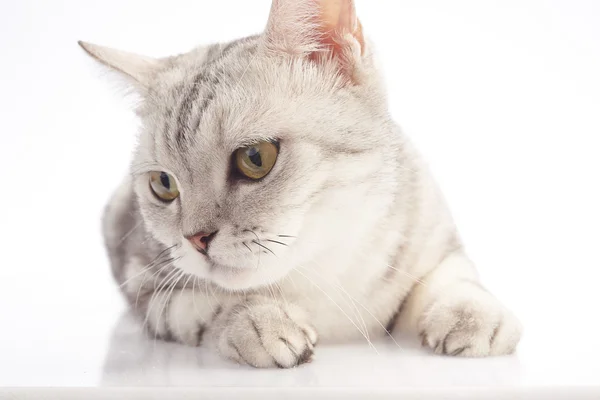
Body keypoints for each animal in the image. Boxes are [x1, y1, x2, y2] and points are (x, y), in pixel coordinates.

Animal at [79, 0, 520, 368]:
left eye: (255, 157)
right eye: (163, 185)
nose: (196, 239)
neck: (325, 272)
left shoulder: (431, 229)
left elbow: (453, 274)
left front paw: (472, 313)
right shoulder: (146, 287)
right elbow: (206, 304)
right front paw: (257, 321)